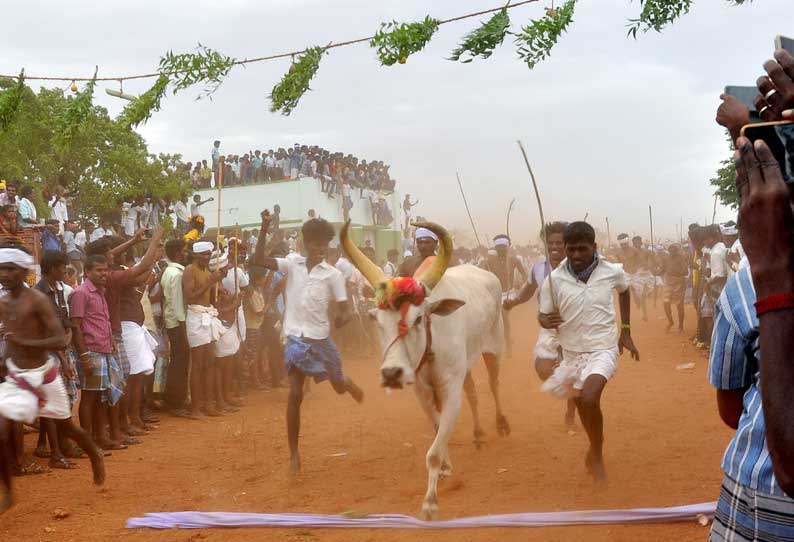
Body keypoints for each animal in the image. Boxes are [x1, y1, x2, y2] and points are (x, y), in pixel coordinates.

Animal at [340, 222, 508, 524]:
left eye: (418, 318)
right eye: (377, 320)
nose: (392, 373)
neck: (431, 342)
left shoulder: (450, 389)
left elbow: (434, 450)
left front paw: (430, 503)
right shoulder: (422, 391)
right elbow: (437, 430)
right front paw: (446, 469)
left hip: (494, 348)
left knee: (493, 384)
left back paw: (500, 424)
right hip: (465, 366)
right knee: (473, 393)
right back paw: (478, 434)